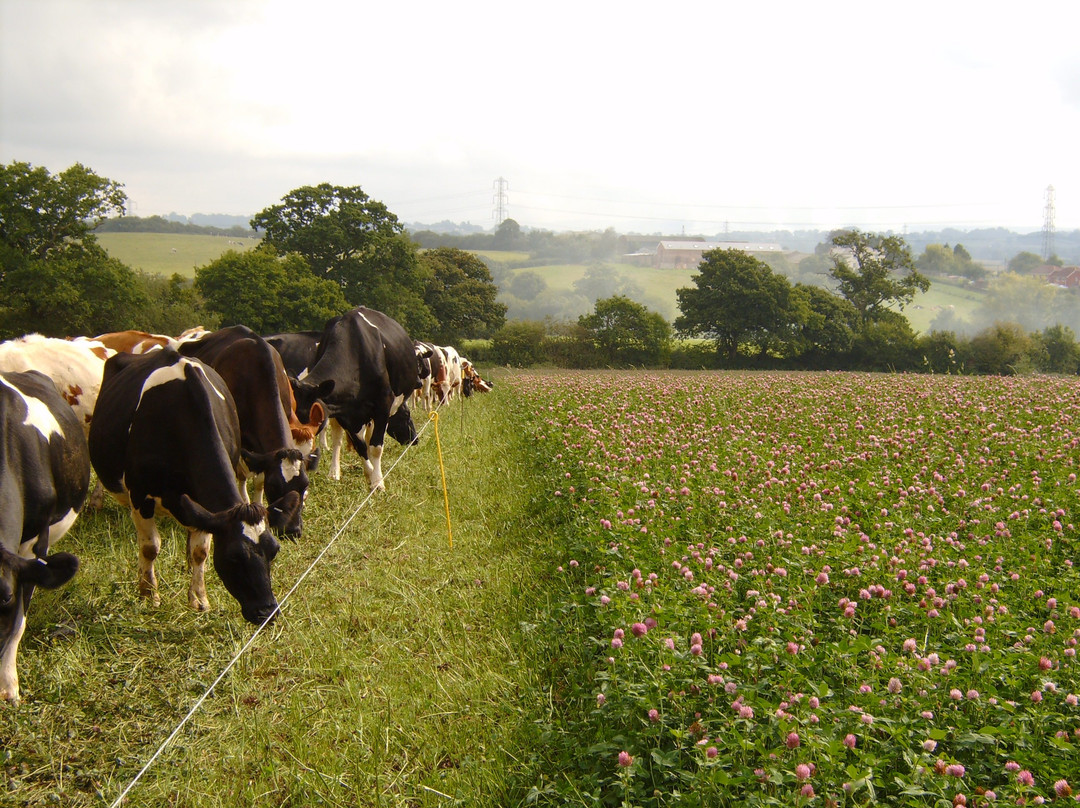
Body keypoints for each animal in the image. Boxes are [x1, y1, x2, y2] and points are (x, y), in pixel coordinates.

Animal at [88, 347, 298, 626]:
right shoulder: (140, 495)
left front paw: (199, 598)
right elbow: (150, 547)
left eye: (274, 550)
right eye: (234, 556)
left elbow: (201, 551)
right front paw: (148, 594)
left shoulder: (206, 505)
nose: (267, 613)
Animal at [293, 306, 432, 486]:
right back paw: (334, 472)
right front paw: (370, 474)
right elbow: (360, 446)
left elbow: (375, 446)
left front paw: (377, 482)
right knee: (338, 438)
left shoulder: (382, 406)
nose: (415, 440)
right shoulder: (344, 413)